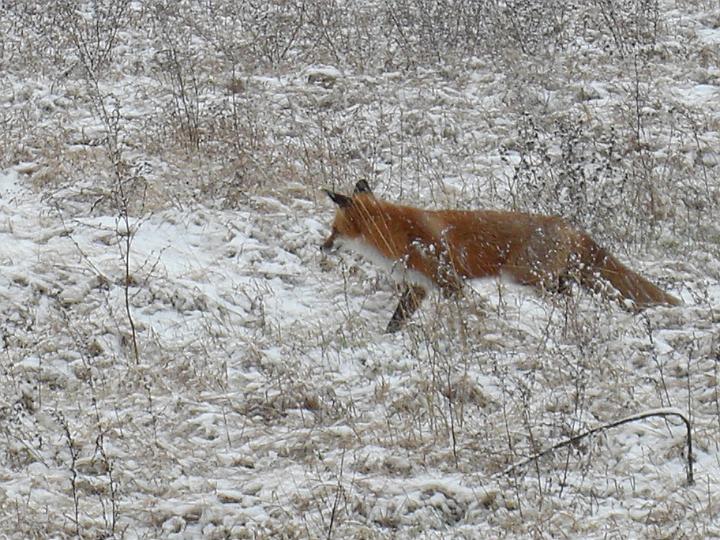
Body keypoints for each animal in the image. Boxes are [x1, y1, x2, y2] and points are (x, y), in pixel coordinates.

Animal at [322, 180, 681, 333]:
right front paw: (389, 337)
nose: (322, 247)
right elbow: (396, 320)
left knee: (567, 296)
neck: (395, 233)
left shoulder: (448, 281)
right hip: (557, 276)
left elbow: (467, 308)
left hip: (526, 277)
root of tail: (567, 225)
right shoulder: (419, 286)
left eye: (333, 230)